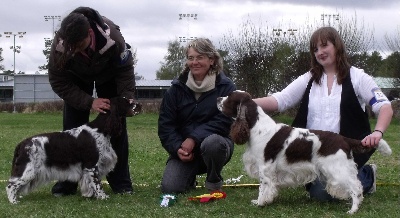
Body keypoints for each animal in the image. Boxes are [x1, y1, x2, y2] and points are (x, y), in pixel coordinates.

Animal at [6, 96, 141, 204]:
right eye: (127, 101)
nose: (140, 105)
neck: (100, 129)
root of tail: (22, 144)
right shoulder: (92, 165)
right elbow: (97, 183)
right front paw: (103, 197)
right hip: (29, 170)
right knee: (10, 185)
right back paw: (14, 201)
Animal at [217, 90, 392, 215]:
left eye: (229, 96)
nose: (218, 98)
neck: (256, 127)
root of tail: (343, 139)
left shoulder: (265, 168)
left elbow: (263, 187)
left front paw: (260, 203)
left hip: (338, 168)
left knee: (356, 187)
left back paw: (353, 210)